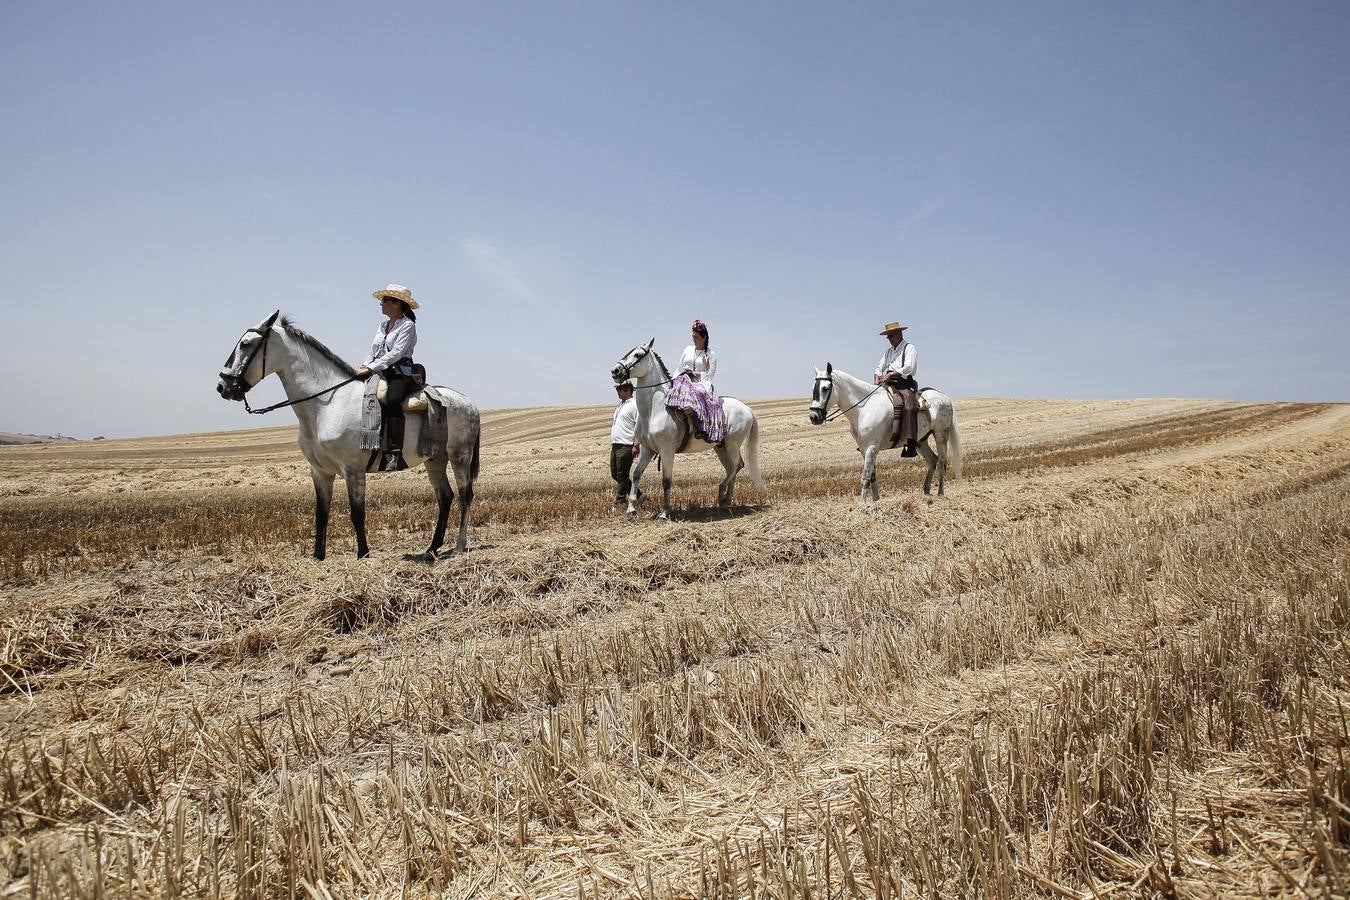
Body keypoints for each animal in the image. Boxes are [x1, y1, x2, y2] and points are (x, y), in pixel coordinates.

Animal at [216, 313, 480, 558]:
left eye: (246, 344)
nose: (223, 386)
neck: (327, 405)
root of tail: (469, 403)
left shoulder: (353, 470)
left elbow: (357, 513)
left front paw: (363, 553)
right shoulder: (320, 472)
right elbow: (321, 514)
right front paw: (318, 556)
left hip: (459, 457)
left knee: (465, 496)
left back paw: (459, 546)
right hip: (435, 460)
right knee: (445, 497)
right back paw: (432, 549)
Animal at [799, 364, 961, 504]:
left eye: (825, 388)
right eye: (812, 388)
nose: (814, 417)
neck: (863, 408)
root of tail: (944, 397)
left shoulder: (871, 448)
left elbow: (865, 476)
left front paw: (862, 503)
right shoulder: (865, 450)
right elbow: (872, 475)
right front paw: (875, 500)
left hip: (941, 435)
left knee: (942, 461)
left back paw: (940, 493)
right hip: (921, 441)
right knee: (932, 460)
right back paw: (926, 491)